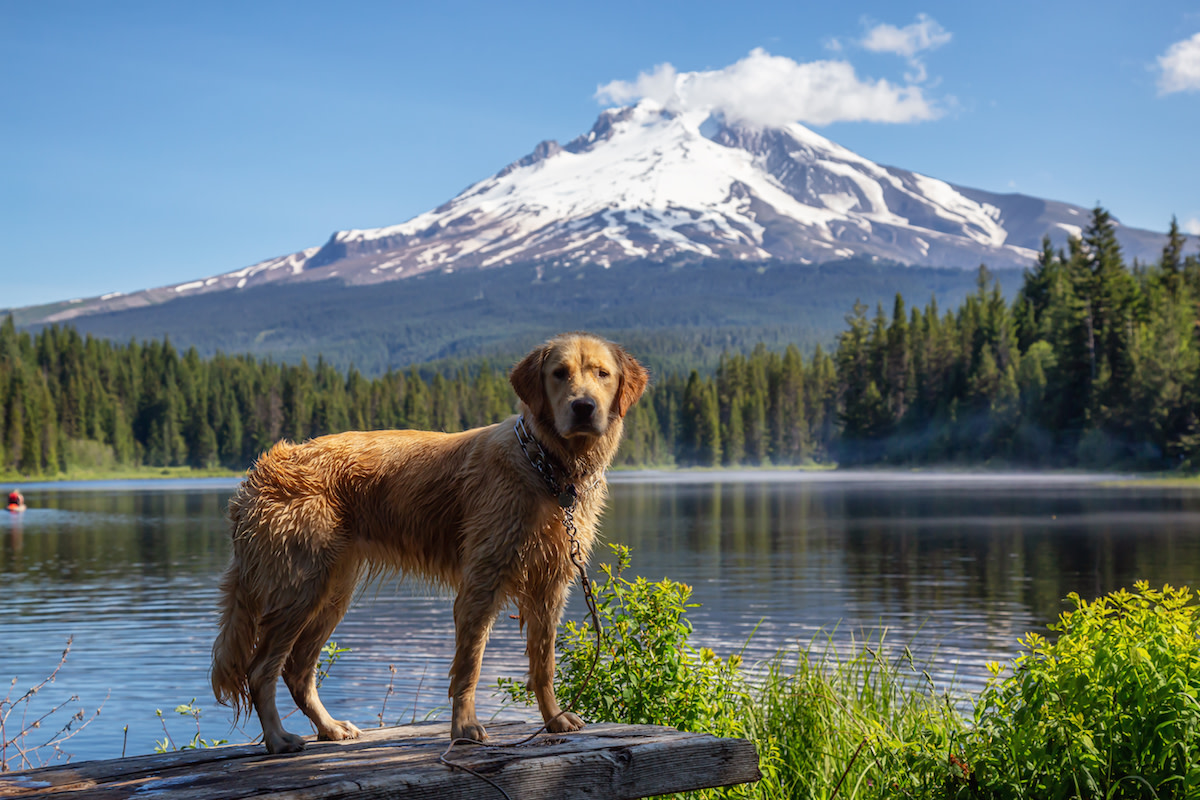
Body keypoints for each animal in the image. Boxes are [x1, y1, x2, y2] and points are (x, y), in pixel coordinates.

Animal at [213, 331, 648, 753]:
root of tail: (257, 474)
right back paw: (278, 739)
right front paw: (465, 728)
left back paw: (329, 727)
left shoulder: (551, 583)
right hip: (299, 587)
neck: (547, 467)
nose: (583, 407)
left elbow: (544, 664)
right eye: (559, 373)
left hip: (332, 590)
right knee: (261, 669)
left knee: (297, 670)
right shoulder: (482, 580)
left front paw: (555, 719)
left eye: (602, 373)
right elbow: (469, 665)